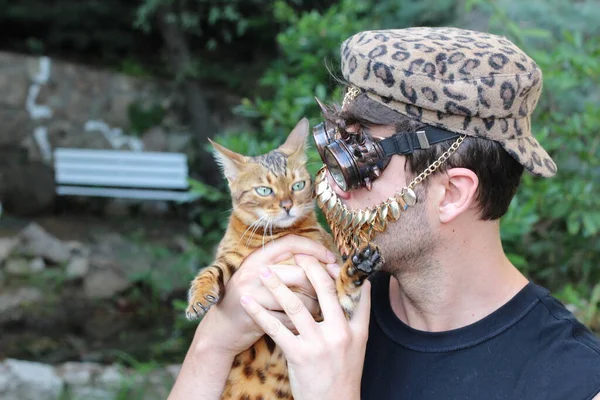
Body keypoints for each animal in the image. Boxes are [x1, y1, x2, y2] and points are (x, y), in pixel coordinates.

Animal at [188, 118, 382, 400]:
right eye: (264, 190)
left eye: (297, 185)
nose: (287, 205)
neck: (278, 234)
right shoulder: (232, 255)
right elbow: (211, 270)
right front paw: (199, 299)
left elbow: (339, 297)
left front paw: (356, 267)